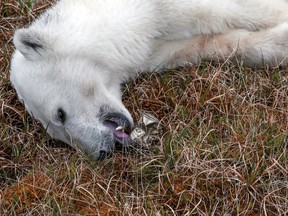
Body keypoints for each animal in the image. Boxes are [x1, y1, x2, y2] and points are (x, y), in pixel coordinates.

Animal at [11, 0, 288, 159]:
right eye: (58, 135)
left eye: (60, 114)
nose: (101, 152)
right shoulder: (157, 47)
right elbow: (211, 43)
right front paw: (277, 44)